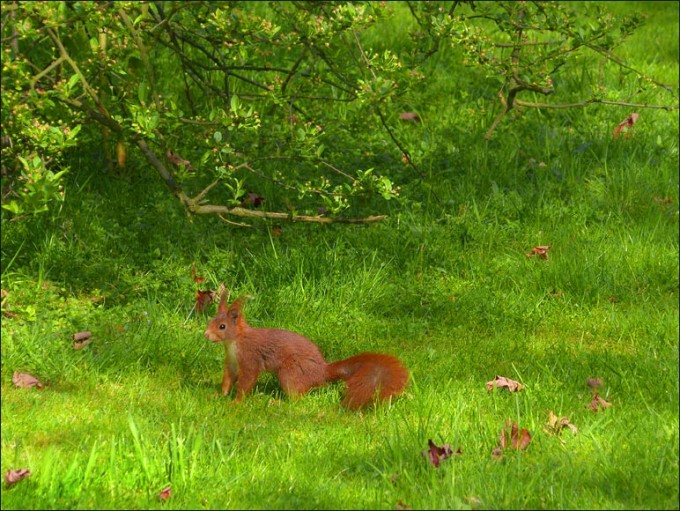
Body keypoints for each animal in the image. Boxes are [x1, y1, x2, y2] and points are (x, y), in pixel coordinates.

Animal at [203, 292, 409, 410]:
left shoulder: (249, 358)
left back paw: (276, 402)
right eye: (211, 320)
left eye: (222, 326)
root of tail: (321, 372)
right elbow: (228, 378)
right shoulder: (231, 361)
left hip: (289, 372)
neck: (234, 341)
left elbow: (246, 381)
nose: (205, 334)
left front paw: (236, 402)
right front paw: (219, 395)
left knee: (297, 398)